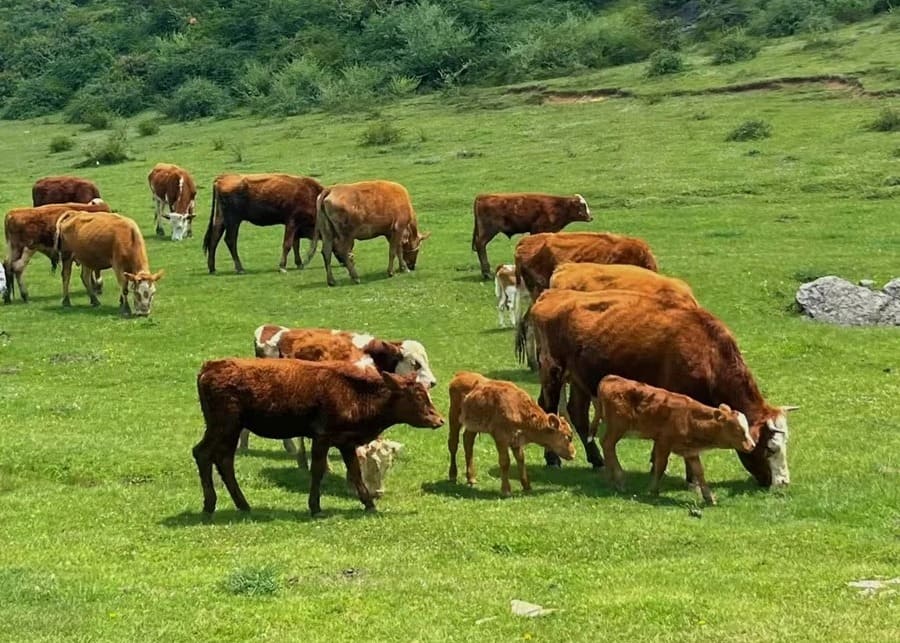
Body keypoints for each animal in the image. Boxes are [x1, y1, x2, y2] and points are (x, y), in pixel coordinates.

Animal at [193, 358, 444, 516]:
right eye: (418, 396)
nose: (440, 420)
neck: (354, 393)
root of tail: (209, 367)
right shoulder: (322, 437)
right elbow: (318, 470)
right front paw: (315, 507)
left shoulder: (346, 442)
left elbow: (355, 472)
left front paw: (369, 504)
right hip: (224, 426)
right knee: (203, 453)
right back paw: (210, 504)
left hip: (230, 429)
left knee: (223, 459)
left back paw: (242, 504)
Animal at [447, 371, 576, 496]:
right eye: (568, 437)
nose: (573, 453)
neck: (519, 409)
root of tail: (460, 374)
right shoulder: (501, 437)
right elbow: (505, 462)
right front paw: (506, 490)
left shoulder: (516, 440)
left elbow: (521, 459)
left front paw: (527, 486)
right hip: (454, 417)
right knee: (453, 444)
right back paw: (453, 475)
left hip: (472, 426)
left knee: (468, 442)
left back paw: (471, 478)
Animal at [529, 288, 797, 487]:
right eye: (770, 449)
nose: (783, 483)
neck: (708, 352)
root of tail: (551, 295)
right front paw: (690, 478)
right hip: (553, 371)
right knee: (550, 407)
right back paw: (553, 459)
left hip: (580, 380)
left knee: (577, 413)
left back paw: (596, 459)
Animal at [596, 375, 756, 504]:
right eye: (739, 430)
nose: (752, 446)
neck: (689, 418)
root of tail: (610, 378)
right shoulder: (663, 443)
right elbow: (660, 466)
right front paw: (653, 490)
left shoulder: (691, 451)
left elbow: (699, 472)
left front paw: (709, 497)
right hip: (618, 427)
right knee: (608, 445)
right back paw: (619, 479)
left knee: (605, 444)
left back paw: (610, 478)